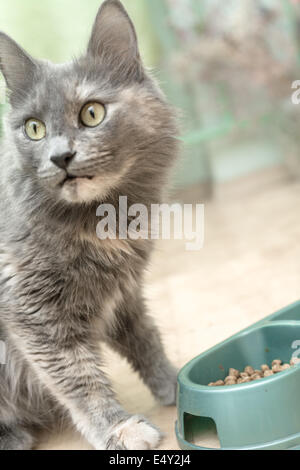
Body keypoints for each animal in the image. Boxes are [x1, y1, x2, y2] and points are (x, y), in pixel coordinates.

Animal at [0, 0, 178, 450]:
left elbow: (145, 339)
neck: (101, 219)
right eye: (34, 128)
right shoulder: (35, 315)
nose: (60, 157)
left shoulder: (124, 292)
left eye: (92, 113)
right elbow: (80, 381)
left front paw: (173, 383)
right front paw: (121, 430)